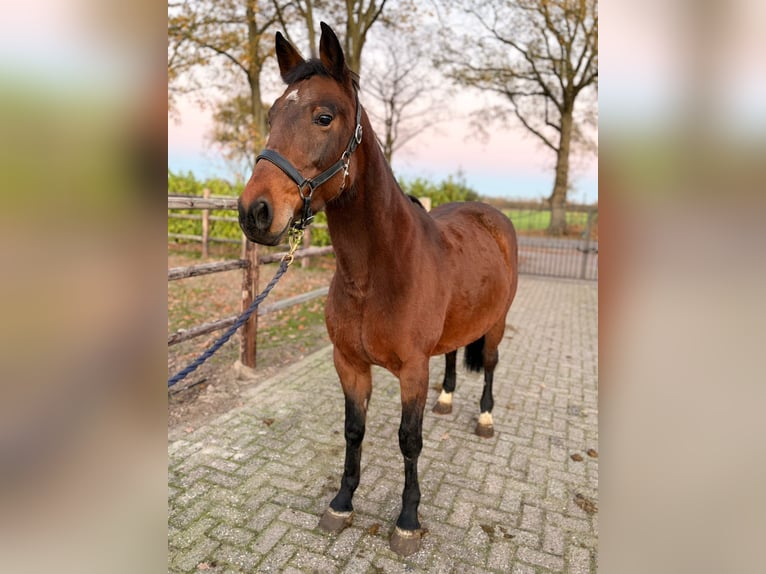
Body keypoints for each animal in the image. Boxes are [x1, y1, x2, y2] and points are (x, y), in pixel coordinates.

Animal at [238, 22, 518, 556]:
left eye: (323, 116)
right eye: (272, 114)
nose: (253, 213)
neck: (375, 274)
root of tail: (490, 215)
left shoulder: (411, 370)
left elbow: (409, 439)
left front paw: (408, 519)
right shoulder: (349, 363)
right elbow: (354, 430)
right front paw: (342, 502)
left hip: (496, 323)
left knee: (490, 364)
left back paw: (485, 419)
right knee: (453, 355)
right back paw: (447, 400)